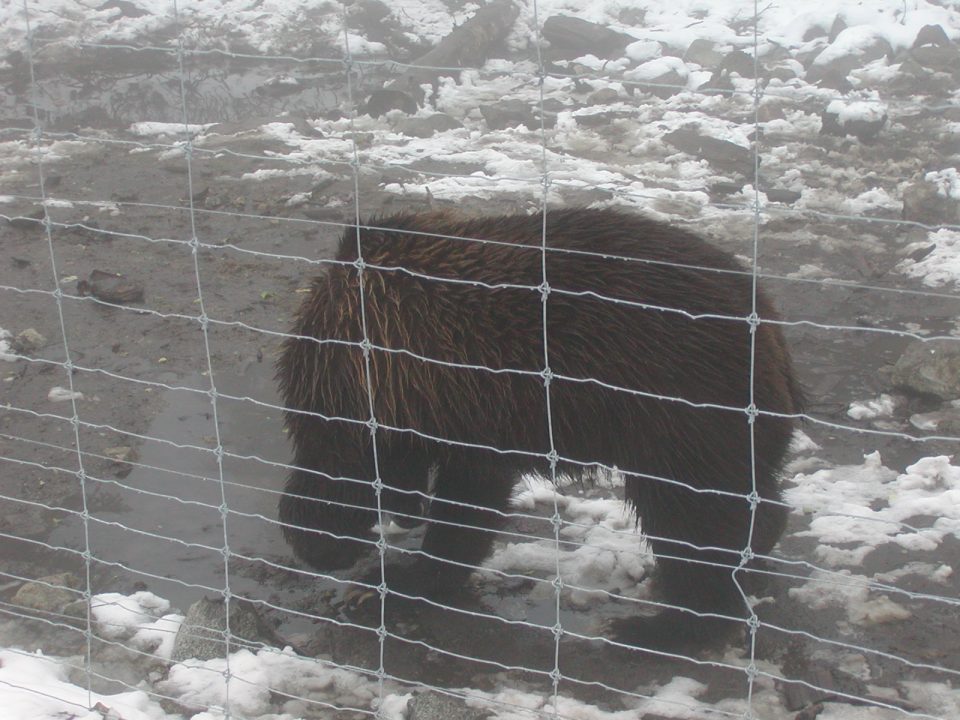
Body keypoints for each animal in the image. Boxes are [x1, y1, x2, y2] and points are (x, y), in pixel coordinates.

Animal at [278, 205, 804, 648]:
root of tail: (770, 324)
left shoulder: (462, 400)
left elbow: (464, 502)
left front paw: (387, 575)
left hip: (682, 403)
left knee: (692, 510)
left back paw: (662, 626)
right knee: (742, 498)